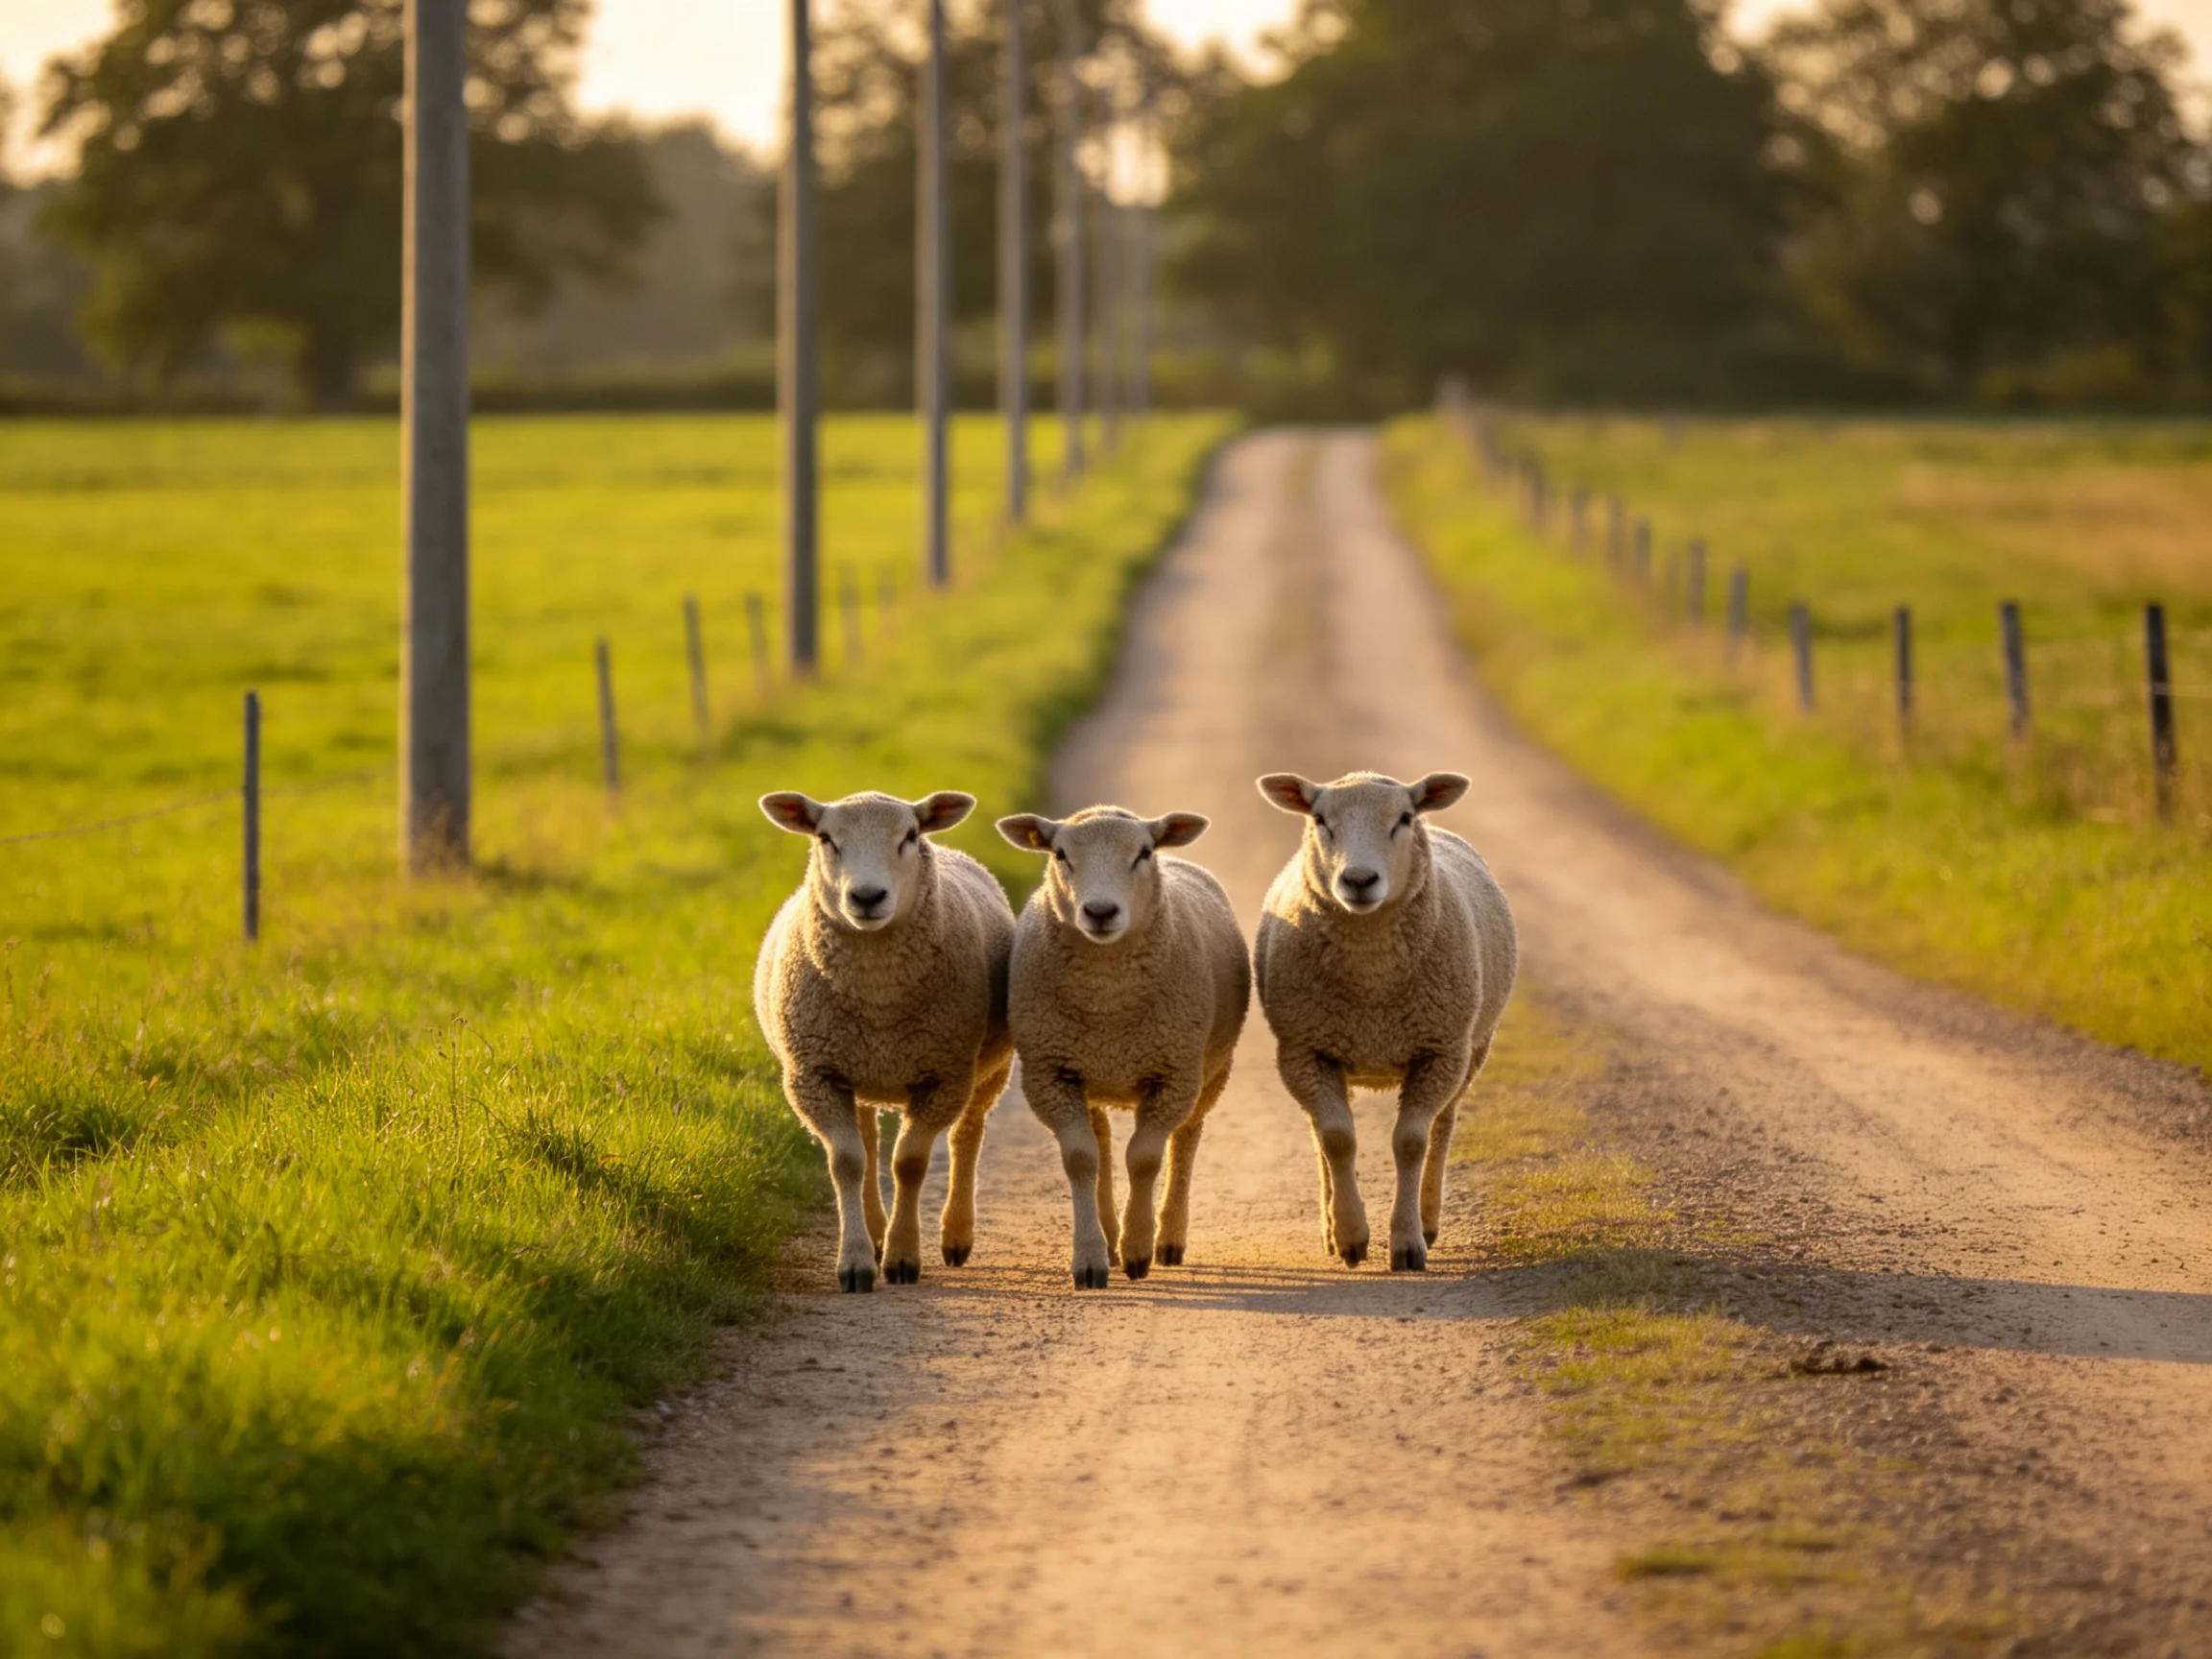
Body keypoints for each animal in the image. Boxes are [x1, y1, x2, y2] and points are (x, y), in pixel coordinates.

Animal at [754, 789, 1017, 1293]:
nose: (867, 896)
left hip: (990, 1069)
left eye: (909, 836)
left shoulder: (943, 1076)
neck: (879, 998)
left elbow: (909, 1163)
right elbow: (847, 1162)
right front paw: (857, 1262)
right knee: (869, 1143)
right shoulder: (814, 1076)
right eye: (825, 837)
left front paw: (902, 1258)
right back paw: (875, 1231)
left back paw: (955, 1235)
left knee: (967, 1135)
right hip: (854, 1068)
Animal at [996, 807, 1252, 1288]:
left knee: (1185, 1139)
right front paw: (1092, 1258)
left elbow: (1145, 1159)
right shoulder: (1051, 1073)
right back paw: (1109, 1235)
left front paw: (1137, 1249)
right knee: (1101, 1143)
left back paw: (1168, 1238)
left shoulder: (1172, 1073)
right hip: (1090, 1073)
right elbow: (1081, 1159)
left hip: (1208, 1071)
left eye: (1144, 853)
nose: (1099, 911)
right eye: (1060, 854)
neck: (1108, 1002)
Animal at [1253, 770, 1517, 1273]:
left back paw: (1429, 1219)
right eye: (1320, 819)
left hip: (1471, 1051)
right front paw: (1351, 1236)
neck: (1371, 977)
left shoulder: (1438, 1052)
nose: (1359, 880)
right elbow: (1337, 1139)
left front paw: (1409, 1241)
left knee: (1442, 1127)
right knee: (1319, 1134)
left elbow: (1411, 1142)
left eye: (1405, 818)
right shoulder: (1305, 1050)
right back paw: (1331, 1229)